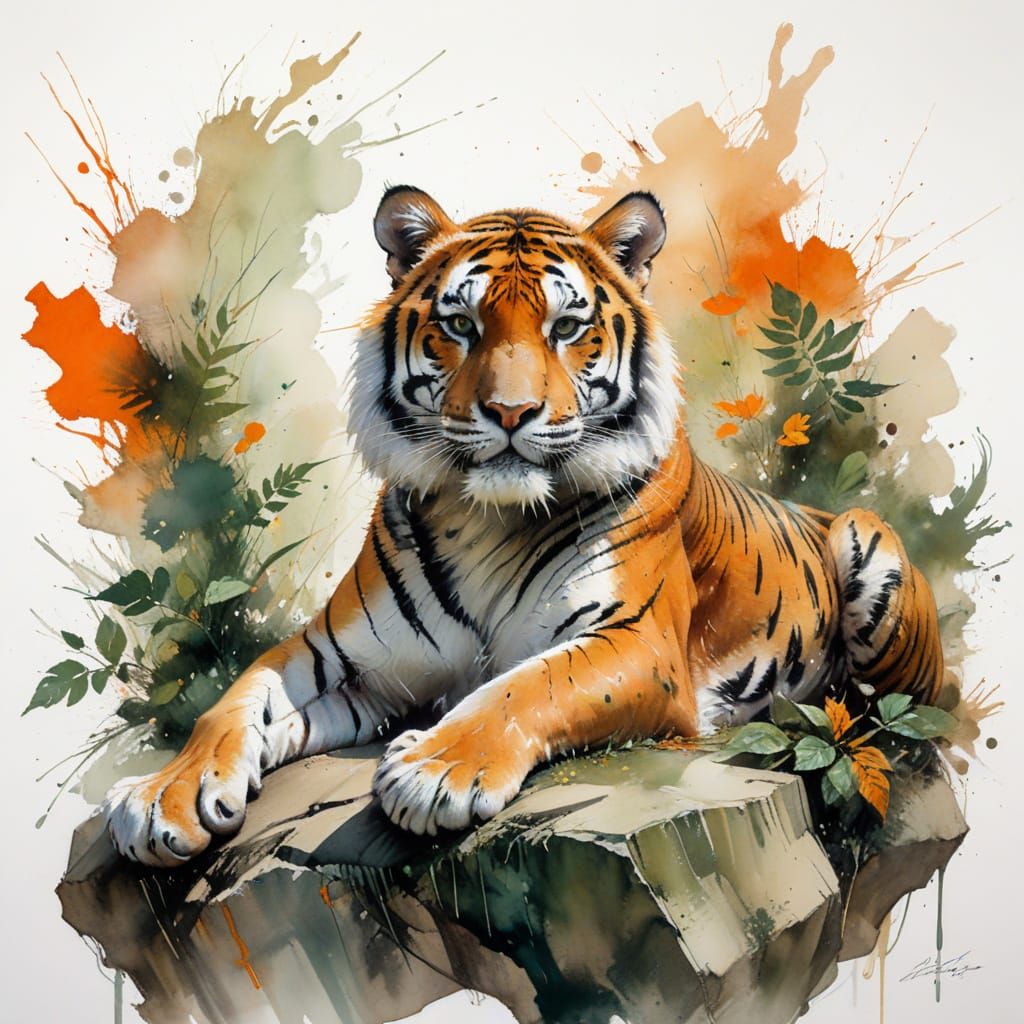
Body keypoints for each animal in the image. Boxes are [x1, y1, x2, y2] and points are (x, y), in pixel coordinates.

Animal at [104, 187, 944, 866]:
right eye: (460, 324)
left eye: (568, 326)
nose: (510, 413)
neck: (485, 518)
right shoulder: (341, 657)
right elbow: (234, 702)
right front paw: (163, 796)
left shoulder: (636, 641)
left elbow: (525, 684)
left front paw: (432, 772)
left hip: (867, 545)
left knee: (911, 726)